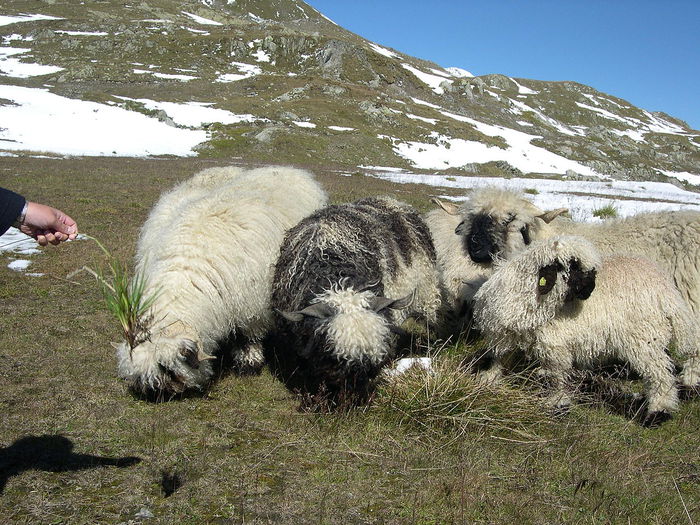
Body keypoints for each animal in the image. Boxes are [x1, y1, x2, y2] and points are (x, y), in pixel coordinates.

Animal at [117, 166, 328, 396]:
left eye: (169, 370)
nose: (158, 393)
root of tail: (288, 169)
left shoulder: (251, 306)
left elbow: (248, 337)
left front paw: (248, 363)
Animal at [470, 235, 700, 424]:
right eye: (572, 266)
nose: (590, 289)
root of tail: (665, 287)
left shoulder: (554, 345)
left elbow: (556, 378)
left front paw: (557, 405)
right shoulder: (505, 337)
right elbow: (499, 359)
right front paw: (489, 379)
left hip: (643, 338)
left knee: (660, 375)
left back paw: (658, 412)